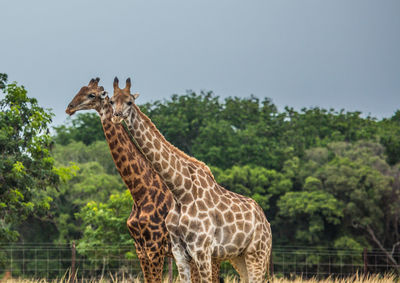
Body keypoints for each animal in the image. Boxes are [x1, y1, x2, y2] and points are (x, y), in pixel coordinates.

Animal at [66, 77, 222, 283]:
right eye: (80, 90)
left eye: (92, 94)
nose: (69, 108)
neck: (139, 192)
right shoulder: (140, 248)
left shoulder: (154, 247)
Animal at [109, 77, 272, 283]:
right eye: (111, 101)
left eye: (130, 101)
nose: (116, 115)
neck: (180, 191)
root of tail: (265, 220)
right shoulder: (179, 253)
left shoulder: (201, 250)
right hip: (239, 256)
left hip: (257, 253)